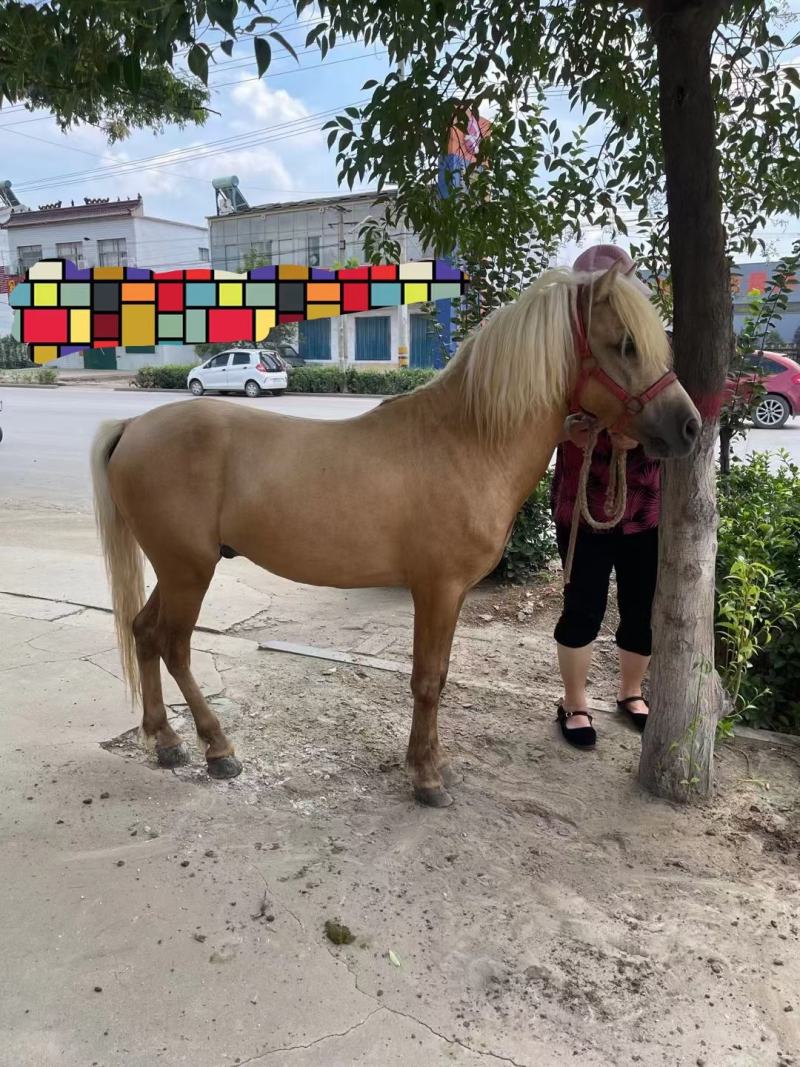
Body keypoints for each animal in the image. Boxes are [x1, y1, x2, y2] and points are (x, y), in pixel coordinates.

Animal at [91, 262, 700, 807]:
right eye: (624, 344)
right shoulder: (437, 590)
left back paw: (165, 741)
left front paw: (430, 763)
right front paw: (427, 779)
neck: (466, 442)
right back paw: (218, 750)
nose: (690, 426)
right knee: (173, 644)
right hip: (189, 571)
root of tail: (133, 427)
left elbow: (439, 676)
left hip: (176, 569)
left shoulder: (448, 596)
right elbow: (428, 680)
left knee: (144, 634)